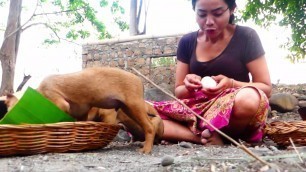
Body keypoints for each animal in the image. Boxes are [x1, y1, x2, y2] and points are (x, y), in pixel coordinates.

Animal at [6, 67, 158, 153]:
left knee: (149, 127)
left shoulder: (61, 103)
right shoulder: (82, 113)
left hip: (134, 106)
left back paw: (147, 149)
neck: (38, 92)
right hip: (127, 108)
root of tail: (138, 79)